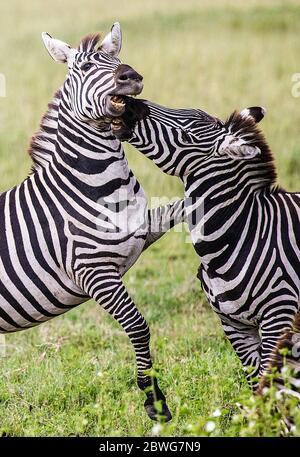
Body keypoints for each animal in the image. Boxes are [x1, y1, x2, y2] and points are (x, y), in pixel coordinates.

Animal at [0, 25, 185, 422]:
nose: (131, 76)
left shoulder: (143, 228)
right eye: (84, 68)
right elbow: (139, 327)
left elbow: (187, 205)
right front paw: (153, 399)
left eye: (118, 59)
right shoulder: (93, 272)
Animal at [112, 97, 300, 396]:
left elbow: (266, 383)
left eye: (187, 136)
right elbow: (254, 380)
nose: (129, 103)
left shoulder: (278, 316)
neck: (239, 237)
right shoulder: (233, 324)